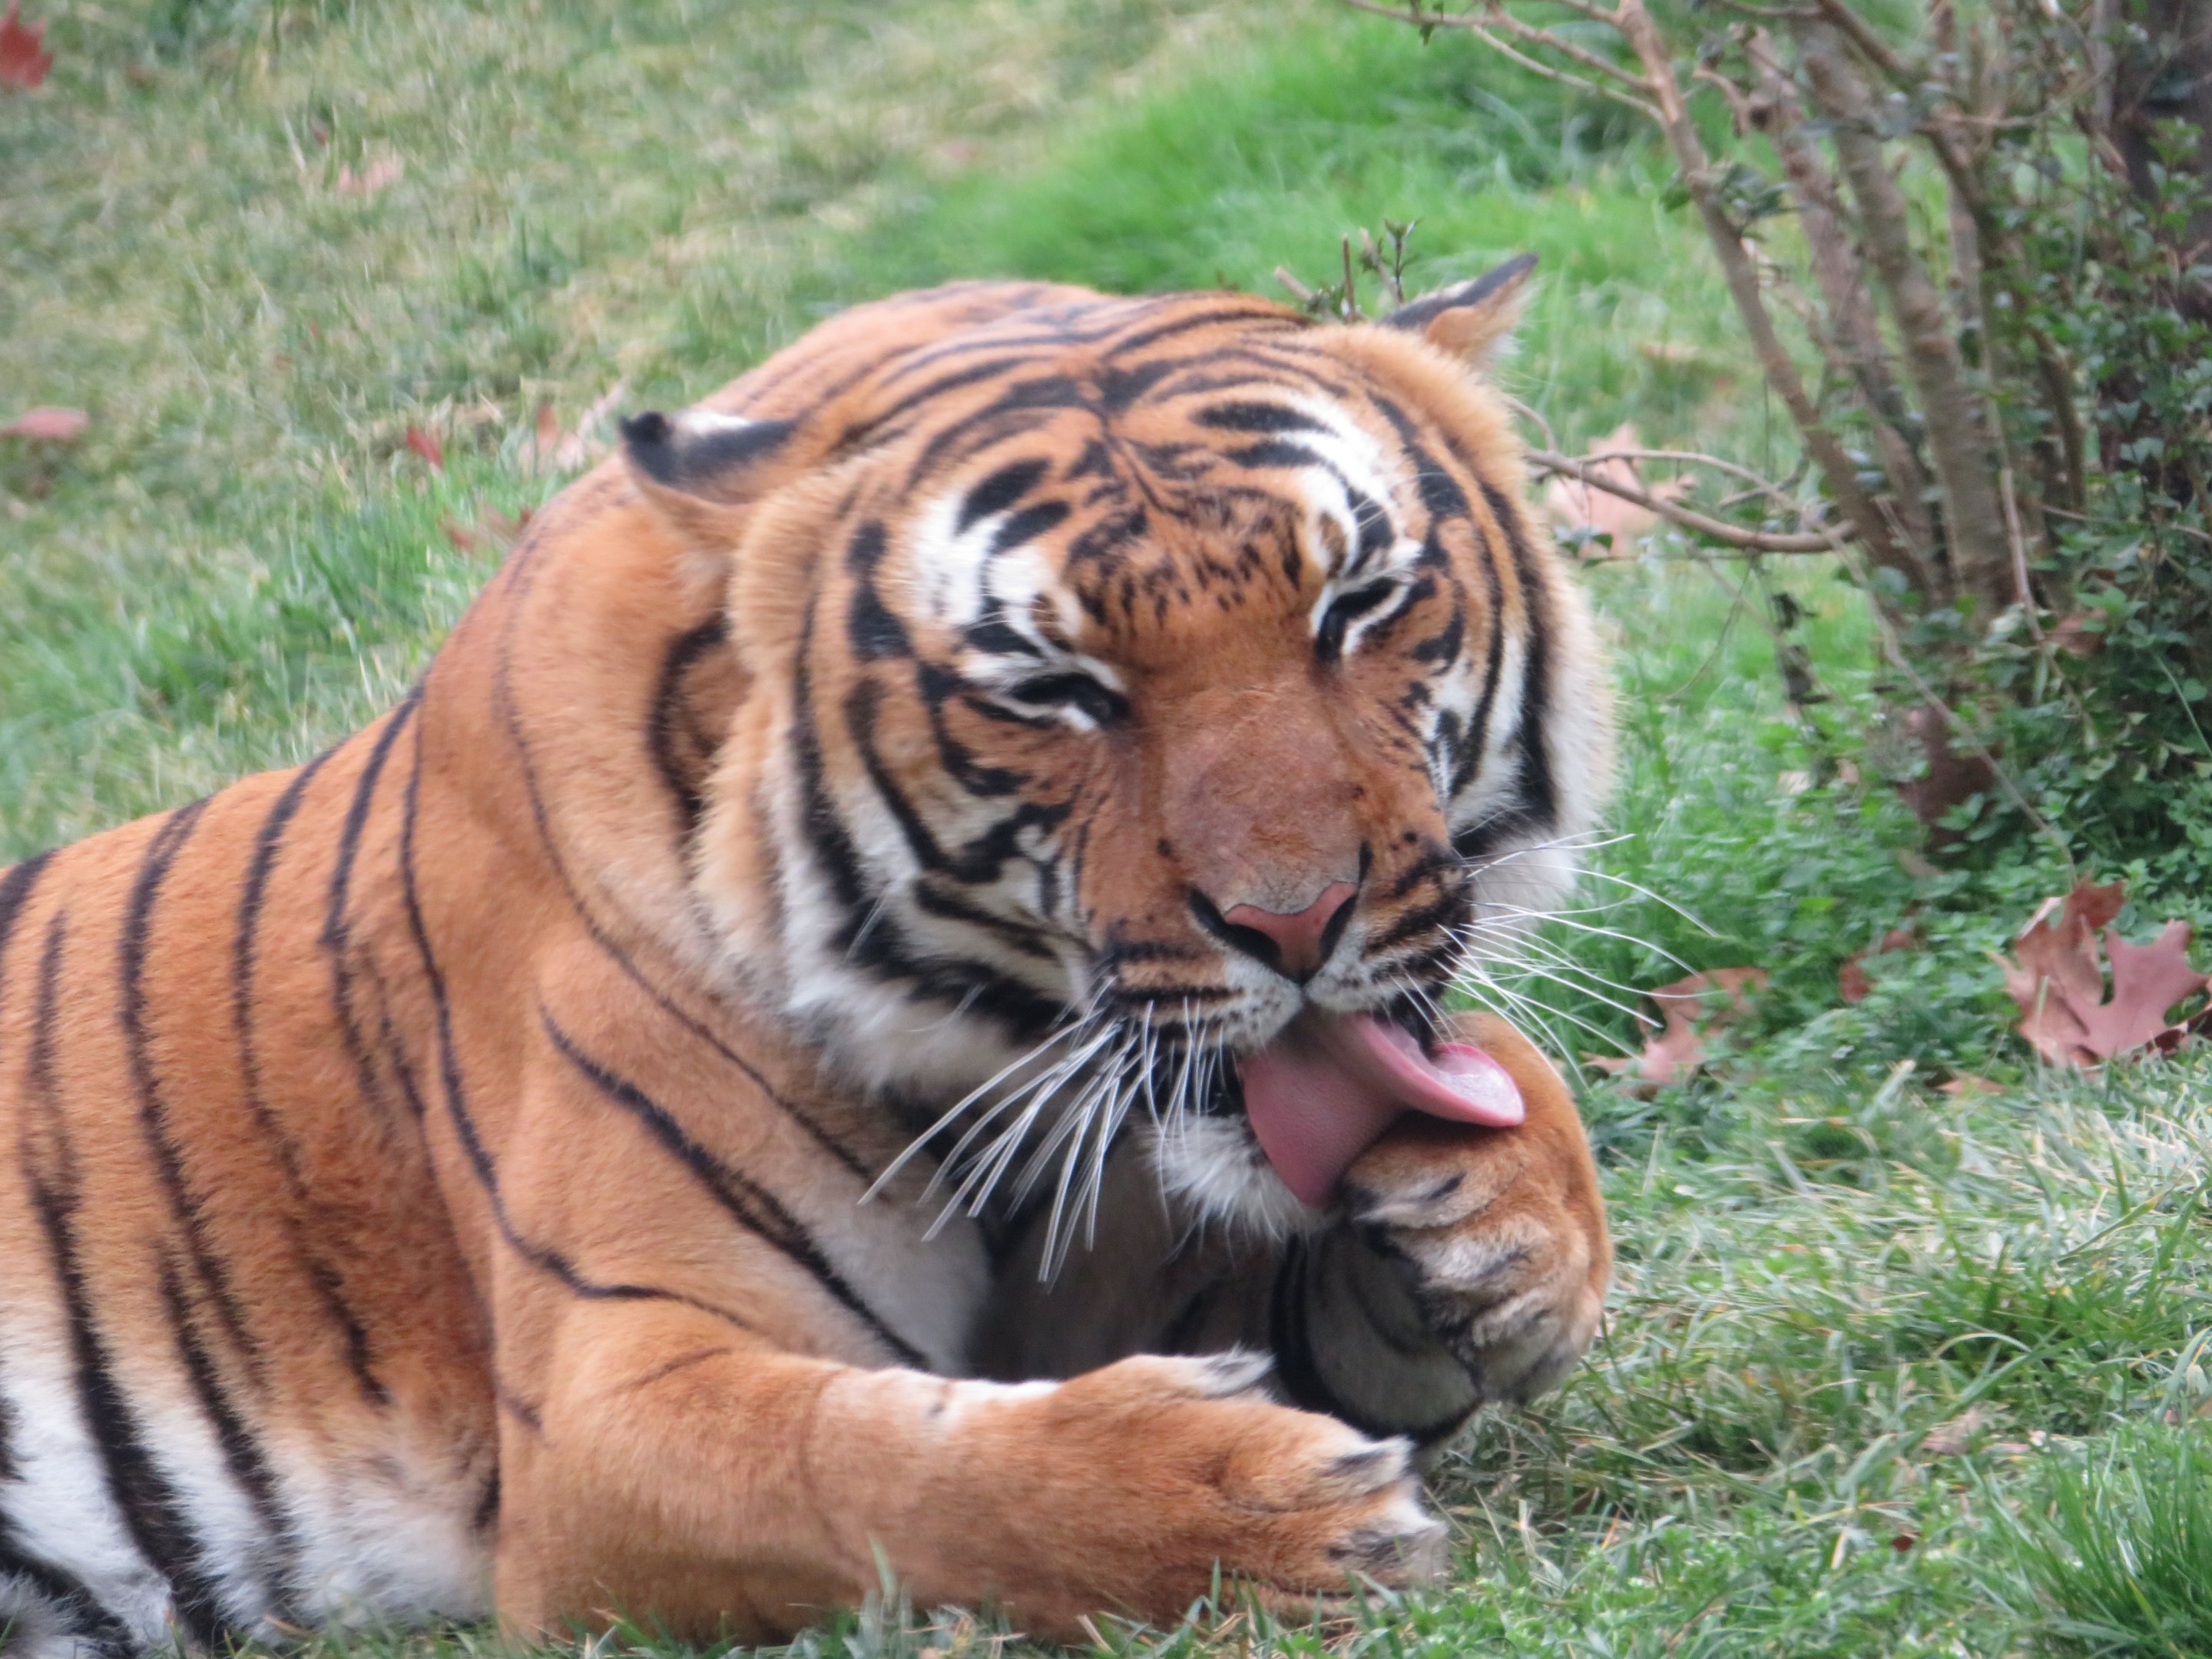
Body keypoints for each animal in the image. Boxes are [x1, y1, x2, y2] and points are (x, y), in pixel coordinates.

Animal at [0, 264, 1614, 1654]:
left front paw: (1506, 1223)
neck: (988, 1045)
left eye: (1357, 606)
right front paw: (1260, 1518)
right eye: (1056, 689)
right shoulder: (603, 1407)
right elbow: (880, 1475)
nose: (1295, 921)